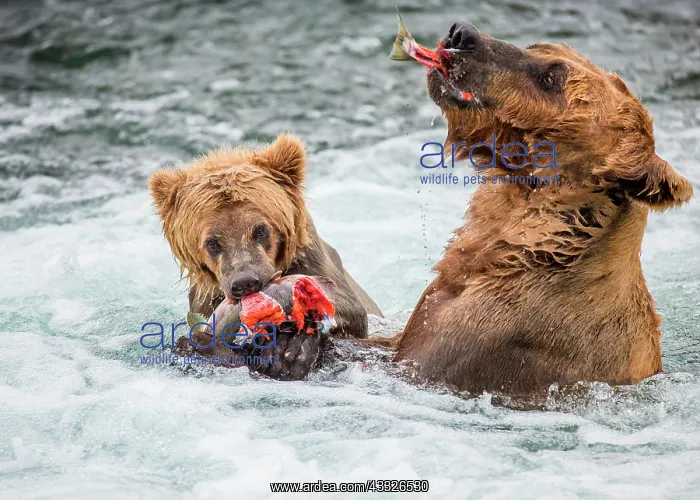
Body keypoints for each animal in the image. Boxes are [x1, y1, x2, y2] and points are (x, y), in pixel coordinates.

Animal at [149, 133, 382, 378]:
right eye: (212, 242)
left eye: (260, 230)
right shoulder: (205, 302)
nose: (245, 282)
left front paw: (292, 349)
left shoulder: (316, 263)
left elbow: (352, 314)